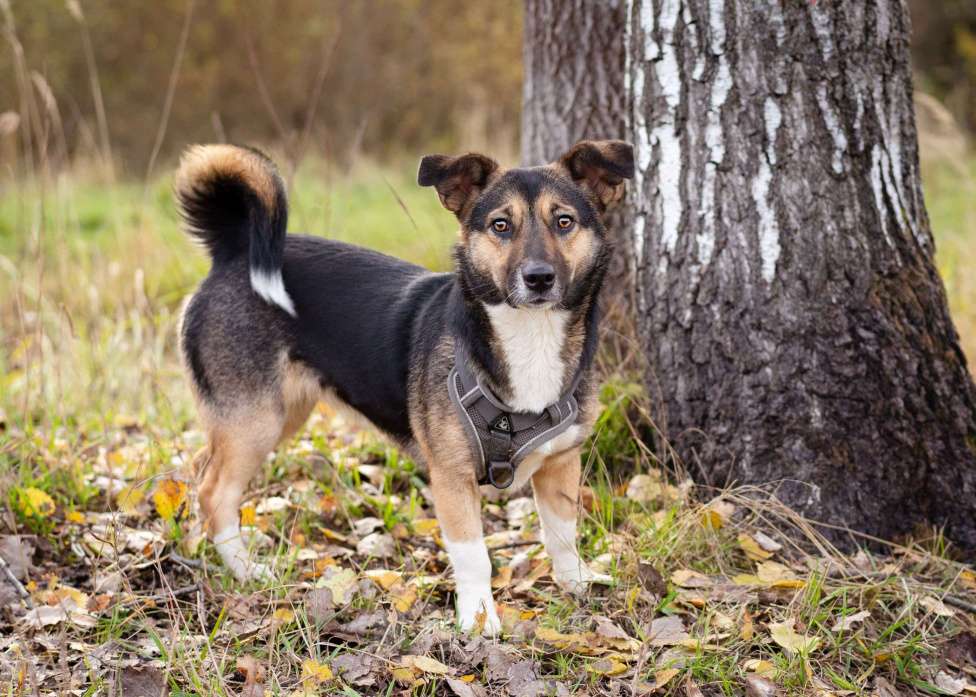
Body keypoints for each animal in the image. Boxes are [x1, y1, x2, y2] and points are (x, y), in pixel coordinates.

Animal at [175, 139, 632, 632]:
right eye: (501, 225)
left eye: (564, 221)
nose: (539, 277)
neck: (528, 337)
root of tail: (235, 252)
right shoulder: (451, 478)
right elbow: (474, 556)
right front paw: (478, 619)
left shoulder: (561, 461)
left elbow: (563, 533)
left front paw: (576, 584)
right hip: (255, 419)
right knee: (215, 491)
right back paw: (244, 569)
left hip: (276, 414)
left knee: (200, 469)